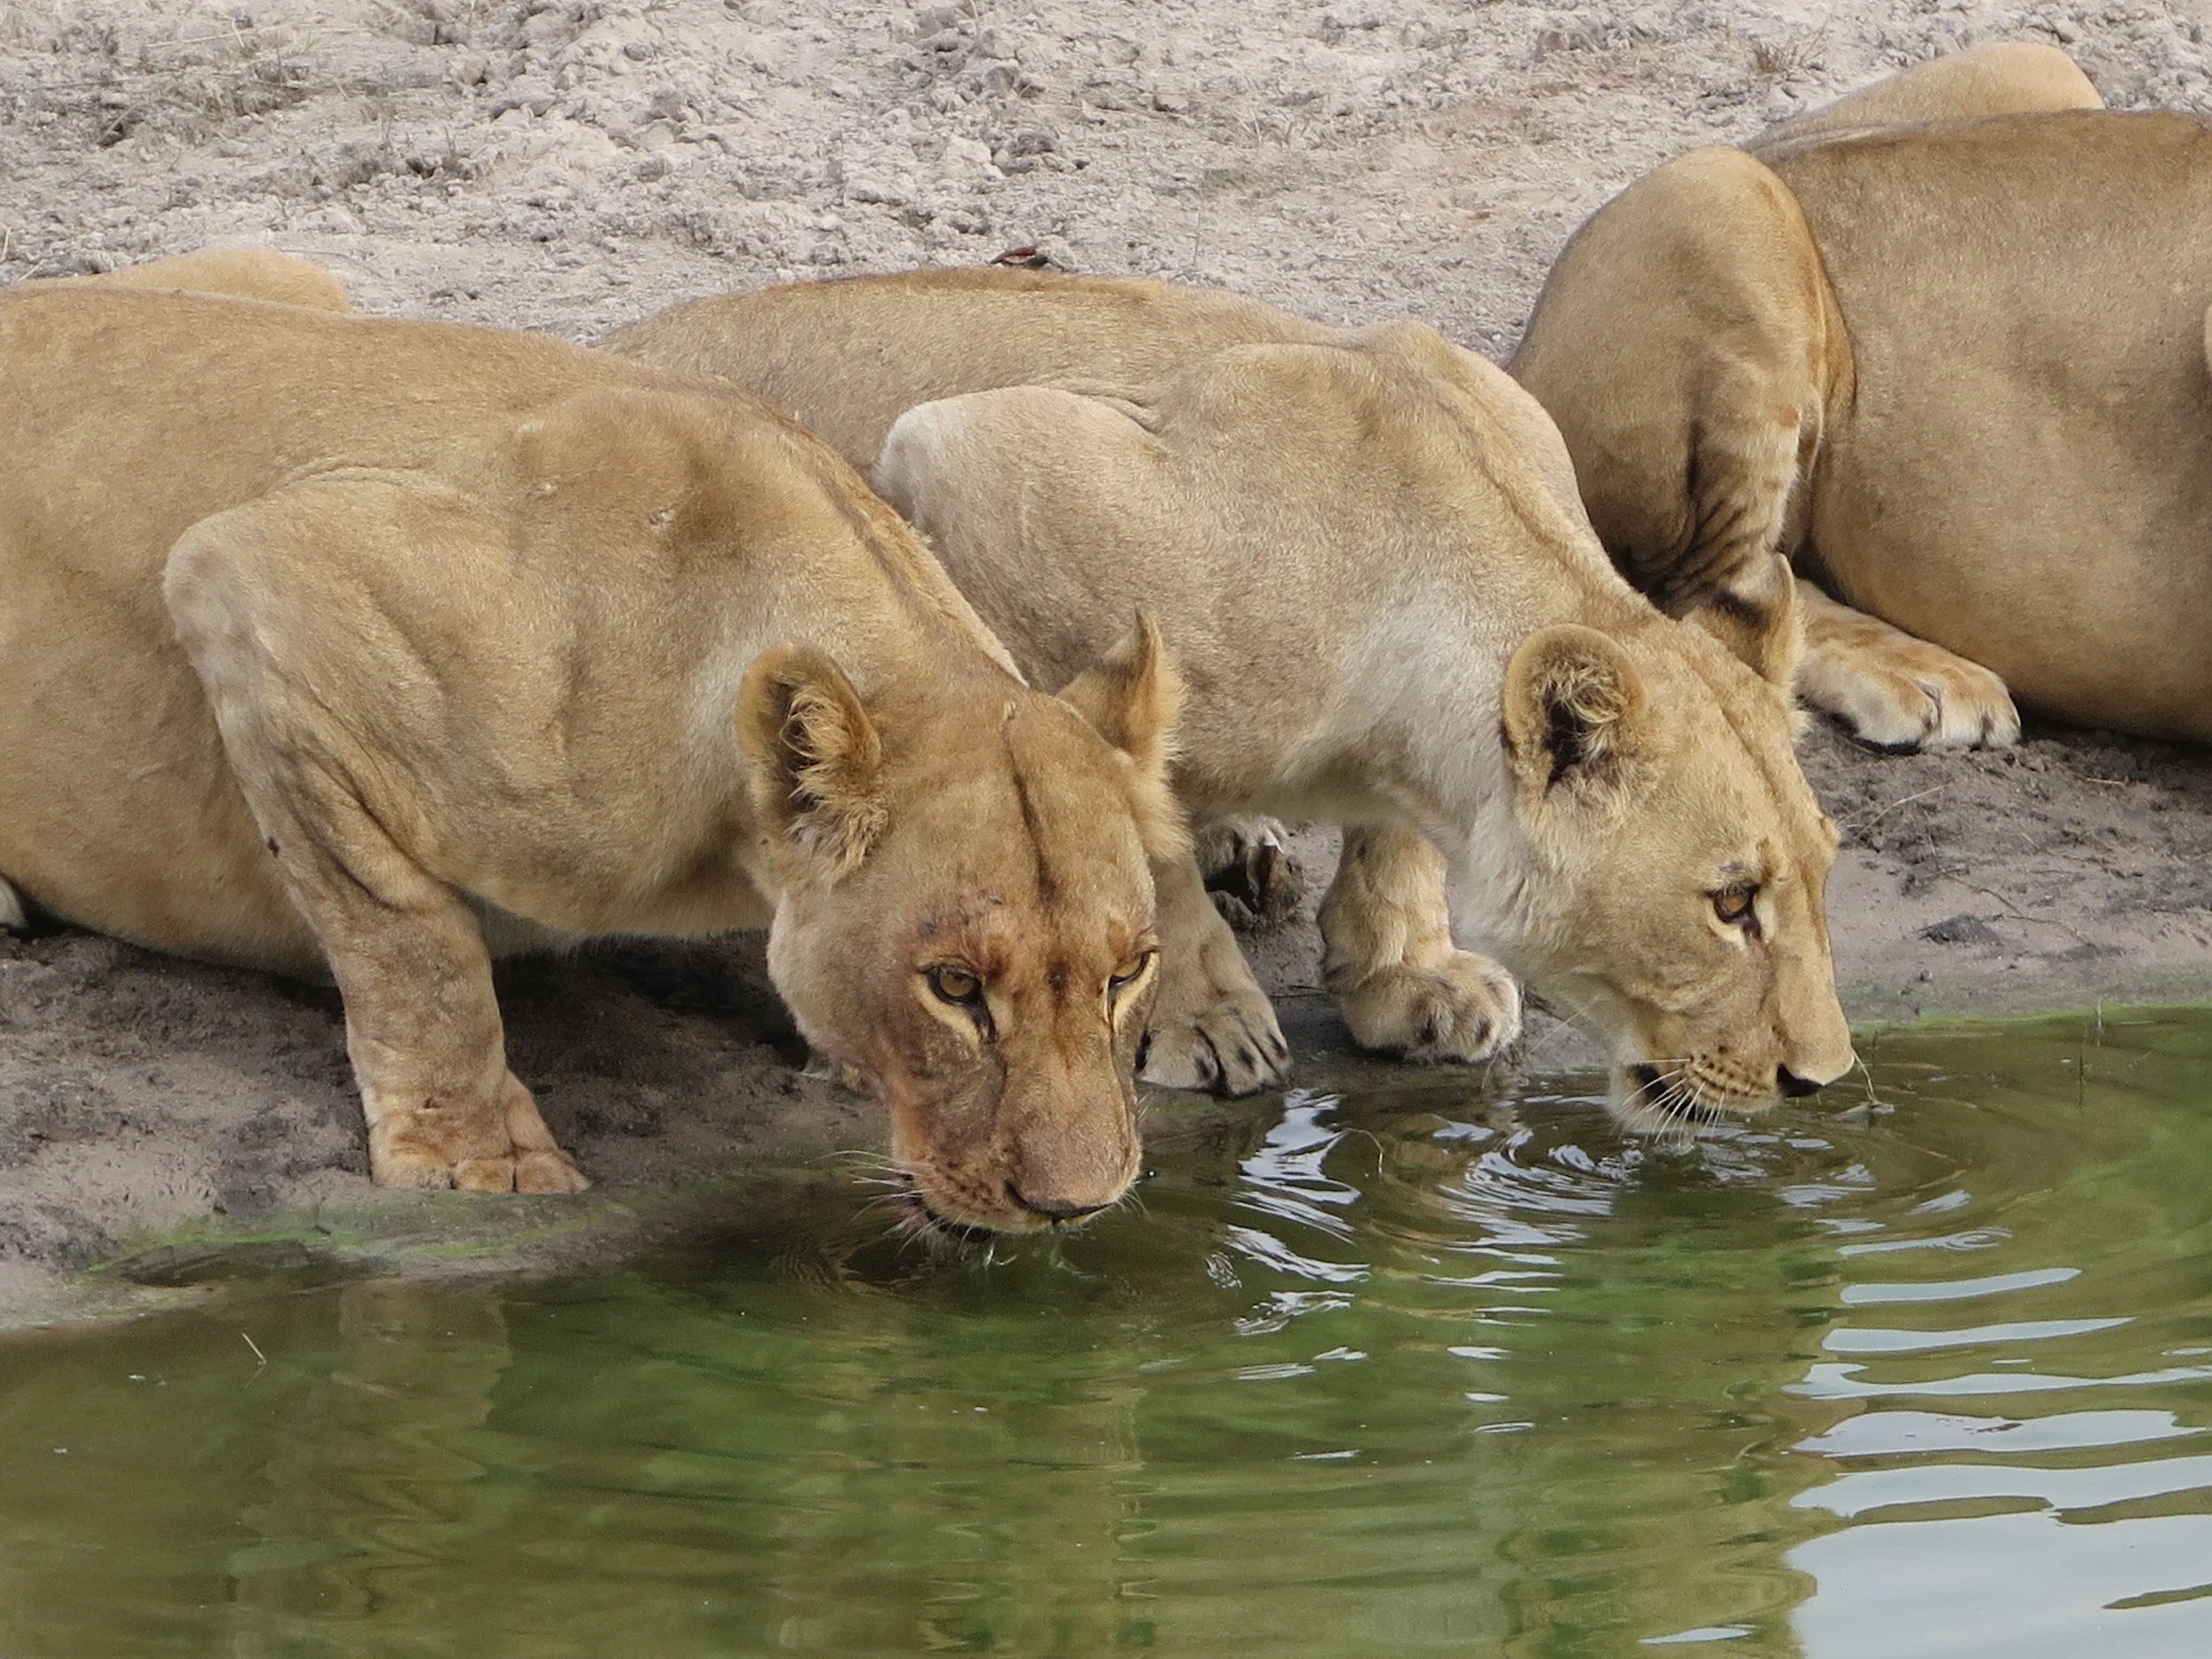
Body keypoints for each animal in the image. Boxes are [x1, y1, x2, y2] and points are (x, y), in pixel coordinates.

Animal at [0, 277, 1193, 1235]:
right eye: (952, 987)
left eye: (1128, 970)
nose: (1076, 1207)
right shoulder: (256, 575)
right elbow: (409, 940)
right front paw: (477, 1160)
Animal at [604, 270, 1856, 1126]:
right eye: (1731, 903)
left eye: (1819, 876)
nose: (1821, 1078)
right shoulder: (967, 457)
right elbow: (1114, 801)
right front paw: (1202, 1016)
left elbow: (1393, 835)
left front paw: (1405, 974)